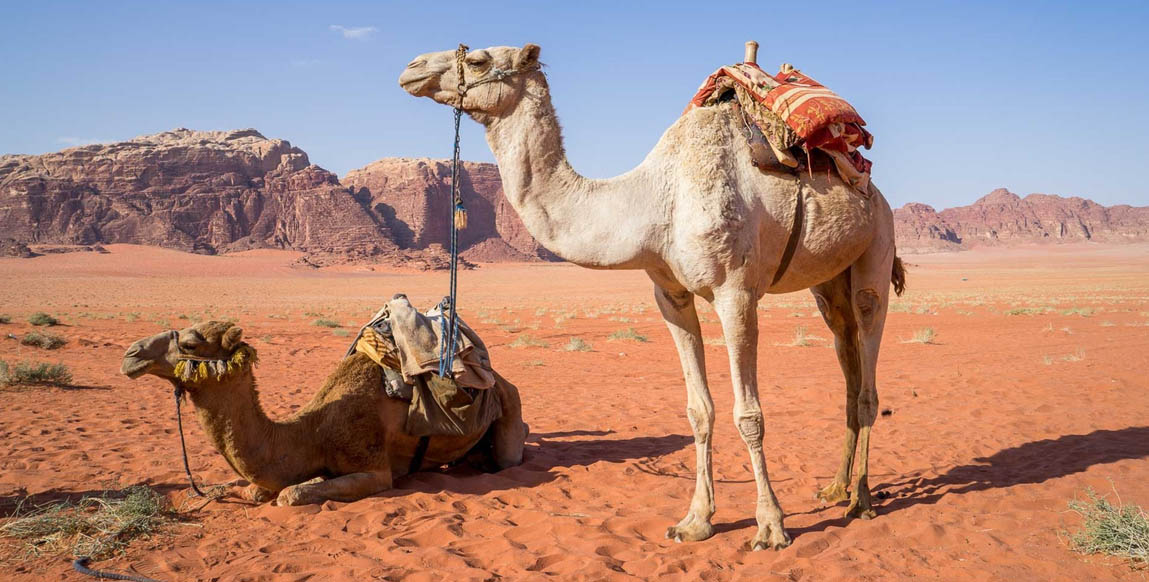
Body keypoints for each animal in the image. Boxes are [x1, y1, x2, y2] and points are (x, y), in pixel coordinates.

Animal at [120, 321, 526, 507]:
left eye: (190, 343)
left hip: (509, 401)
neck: (313, 431)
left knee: (510, 452)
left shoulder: (376, 470)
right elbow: (258, 489)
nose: (131, 354)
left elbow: (290, 495)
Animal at [402, 43, 905, 548]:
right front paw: (696, 520)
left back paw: (861, 499)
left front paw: (770, 526)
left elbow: (749, 414)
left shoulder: (736, 292)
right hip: (828, 282)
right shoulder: (671, 295)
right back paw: (836, 487)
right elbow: (699, 410)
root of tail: (874, 190)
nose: (412, 68)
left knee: (867, 370)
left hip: (876, 248)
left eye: (480, 59)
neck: (654, 202)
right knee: (846, 361)